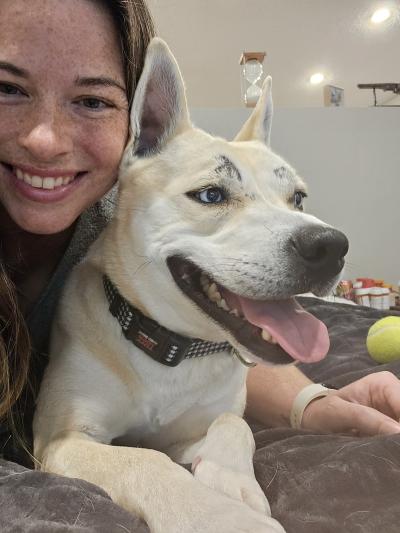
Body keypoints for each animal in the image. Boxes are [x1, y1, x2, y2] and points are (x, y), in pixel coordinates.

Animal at [33, 38, 346, 532]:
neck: (172, 346)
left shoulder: (193, 430)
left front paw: (229, 481)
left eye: (298, 198)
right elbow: (144, 460)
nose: (331, 246)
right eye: (211, 195)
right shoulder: (62, 439)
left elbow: (234, 425)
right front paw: (226, 518)